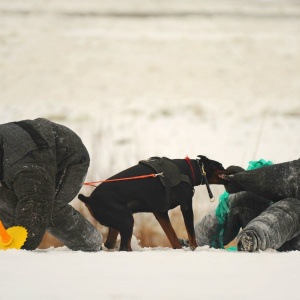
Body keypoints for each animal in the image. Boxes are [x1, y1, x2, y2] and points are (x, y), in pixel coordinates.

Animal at [78, 155, 226, 251]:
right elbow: (192, 235)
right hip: (126, 219)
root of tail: (89, 199)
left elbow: (172, 236)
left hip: (116, 222)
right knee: (125, 247)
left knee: (109, 243)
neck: (189, 170)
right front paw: (194, 249)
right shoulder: (186, 206)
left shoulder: (160, 212)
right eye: (221, 166)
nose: (230, 169)